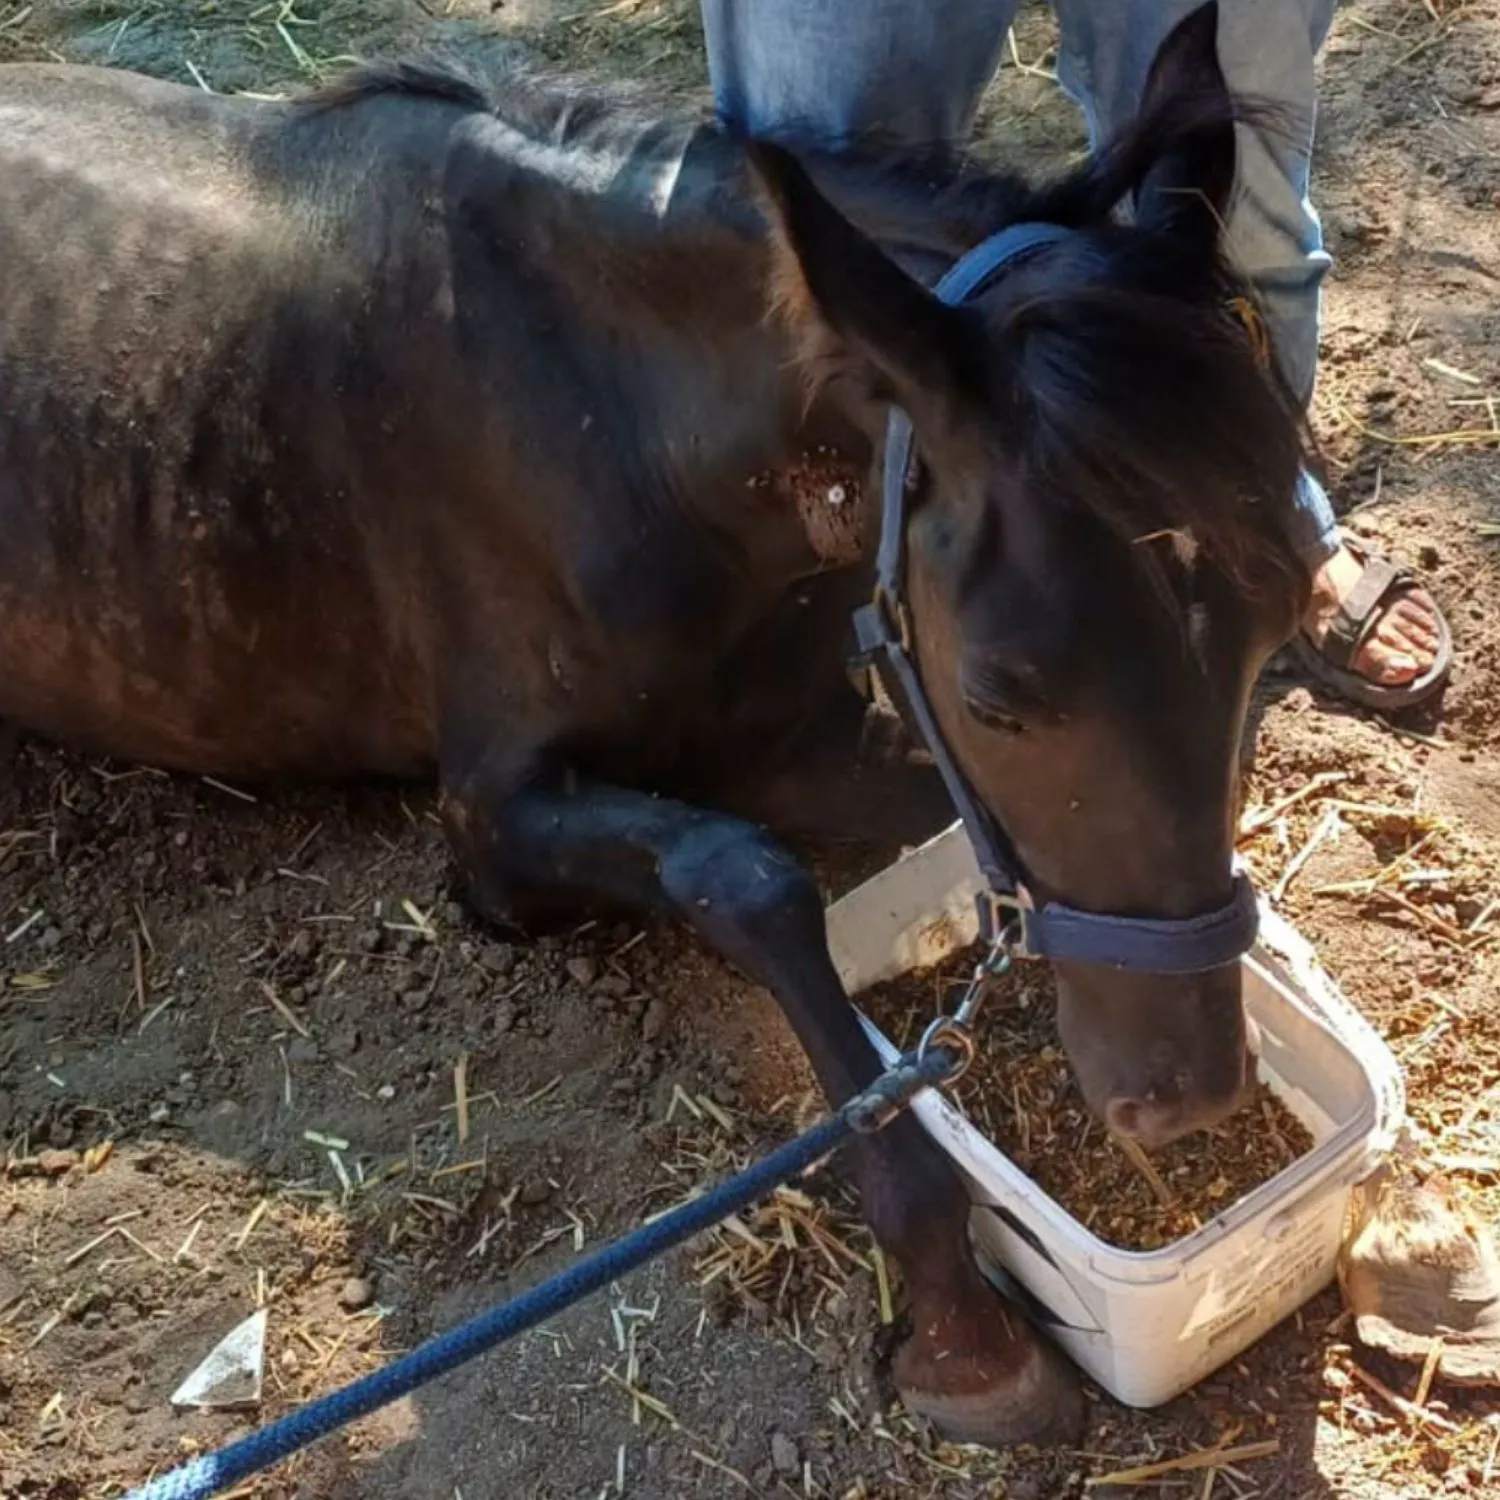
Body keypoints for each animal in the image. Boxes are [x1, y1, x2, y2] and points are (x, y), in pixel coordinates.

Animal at [0, 1, 1309, 1444]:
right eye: (998, 694)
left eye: (1284, 622)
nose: (1183, 1098)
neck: (617, 415)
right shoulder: (494, 822)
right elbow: (746, 876)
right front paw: (963, 1325)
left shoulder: (803, 722)